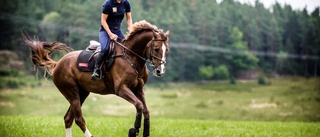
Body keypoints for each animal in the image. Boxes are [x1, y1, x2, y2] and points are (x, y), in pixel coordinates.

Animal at [23, 20, 170, 137]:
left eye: (166, 50)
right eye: (156, 49)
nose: (160, 71)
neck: (131, 57)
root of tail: (58, 63)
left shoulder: (138, 89)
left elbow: (146, 110)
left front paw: (144, 131)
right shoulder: (122, 89)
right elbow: (139, 105)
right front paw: (134, 130)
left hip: (82, 93)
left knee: (68, 118)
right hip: (72, 92)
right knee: (79, 119)